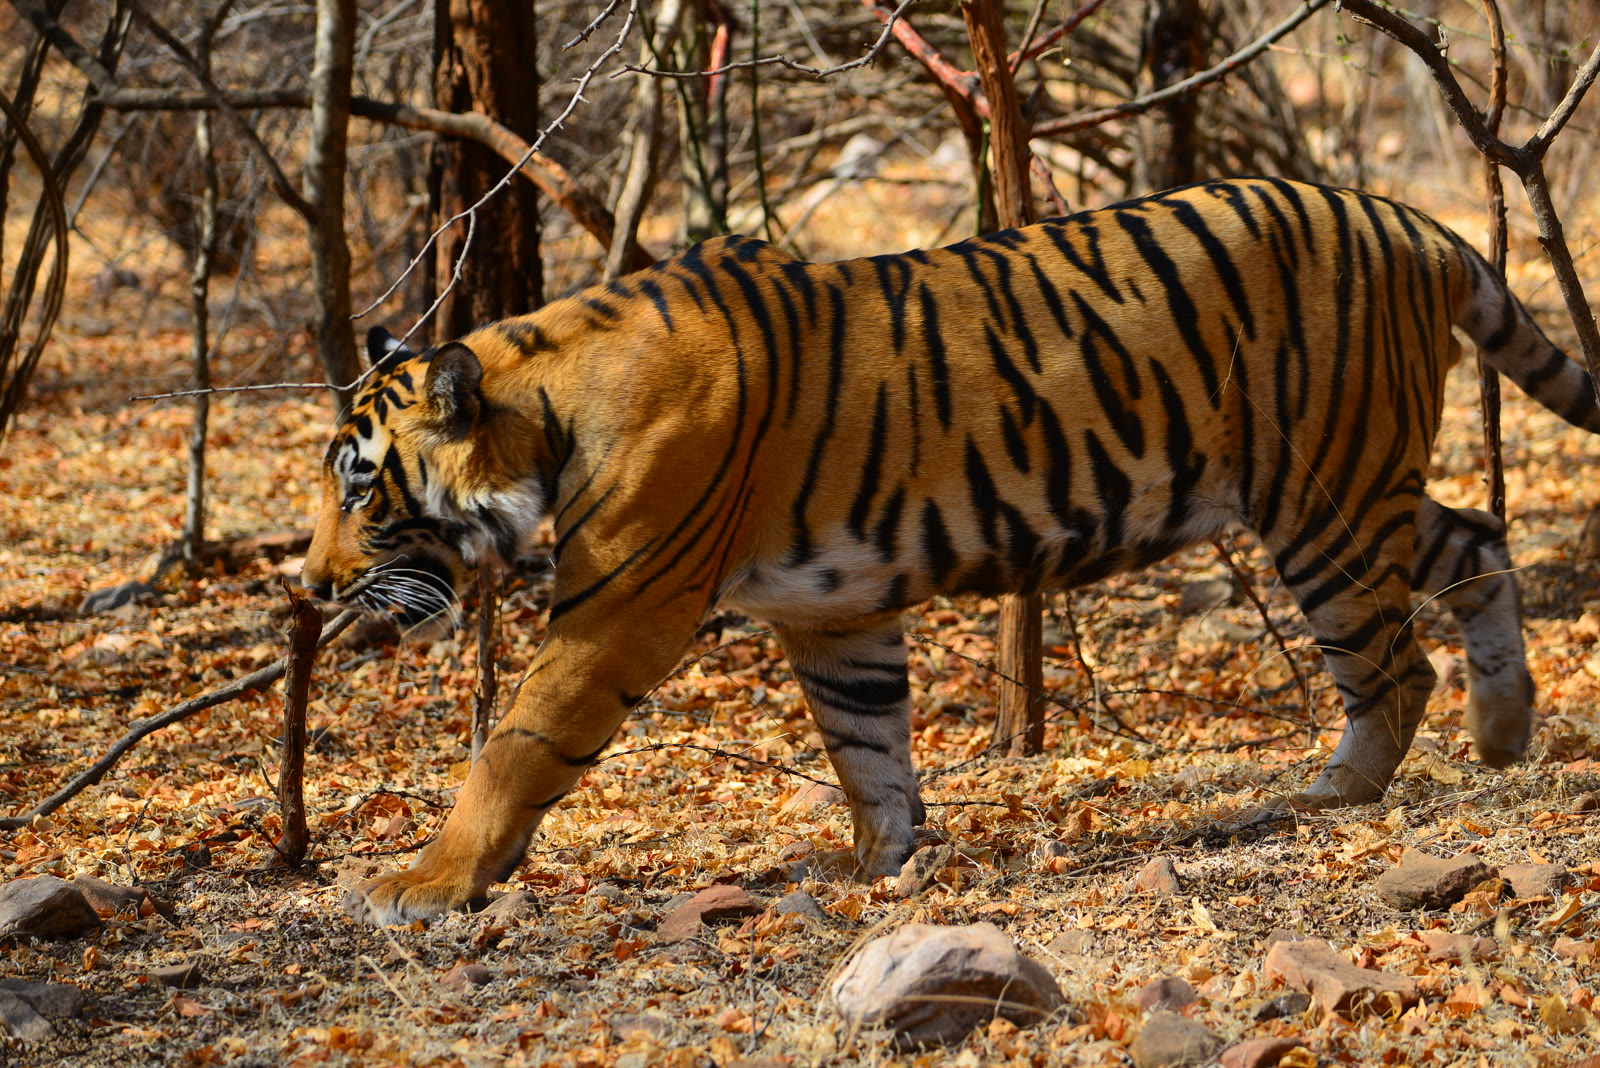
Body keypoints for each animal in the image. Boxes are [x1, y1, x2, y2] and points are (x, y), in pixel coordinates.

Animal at [302, 177, 1600, 924]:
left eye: (363, 486)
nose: (308, 584)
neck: (542, 411)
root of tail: (1412, 220)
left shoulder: (621, 605)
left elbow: (515, 748)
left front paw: (422, 884)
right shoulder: (832, 610)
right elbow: (866, 746)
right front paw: (878, 866)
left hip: (1320, 492)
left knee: (1390, 664)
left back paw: (1330, 793)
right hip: (1358, 480)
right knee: (1477, 543)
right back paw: (1503, 732)